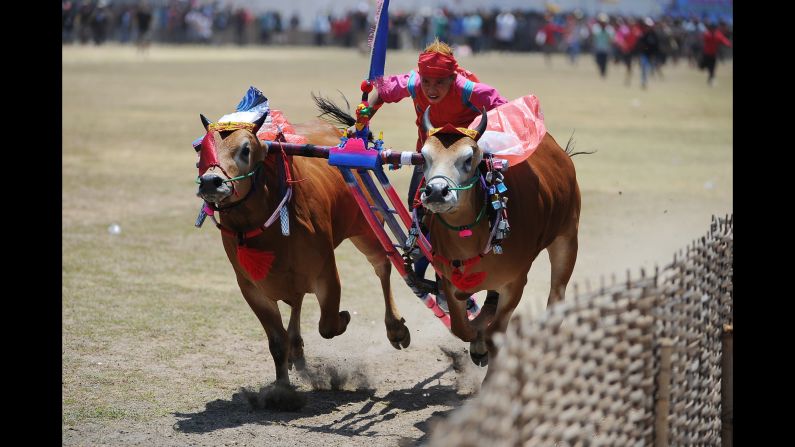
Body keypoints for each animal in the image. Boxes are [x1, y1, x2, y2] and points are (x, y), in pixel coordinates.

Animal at [420, 107, 580, 376]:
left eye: (469, 158)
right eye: (424, 157)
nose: (437, 191)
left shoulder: (515, 282)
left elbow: (495, 333)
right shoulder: (449, 281)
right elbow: (461, 328)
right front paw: (477, 343)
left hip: (567, 241)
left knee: (556, 296)